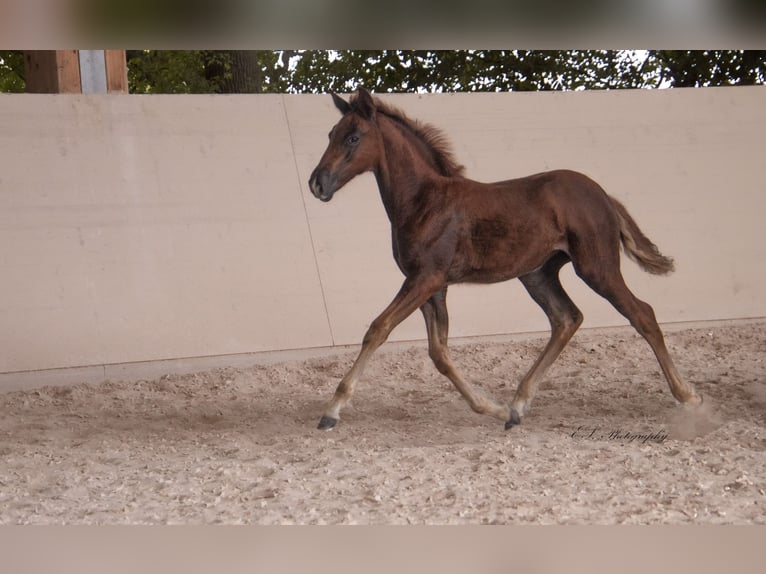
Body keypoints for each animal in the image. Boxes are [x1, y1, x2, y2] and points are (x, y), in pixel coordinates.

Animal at [308, 88, 704, 432]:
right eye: (330, 134)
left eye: (353, 137)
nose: (317, 184)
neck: (425, 200)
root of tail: (604, 195)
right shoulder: (431, 287)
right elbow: (439, 353)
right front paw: (494, 408)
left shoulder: (426, 279)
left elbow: (378, 329)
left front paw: (332, 410)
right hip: (538, 274)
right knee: (567, 318)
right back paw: (517, 406)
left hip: (597, 267)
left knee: (642, 314)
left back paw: (688, 396)